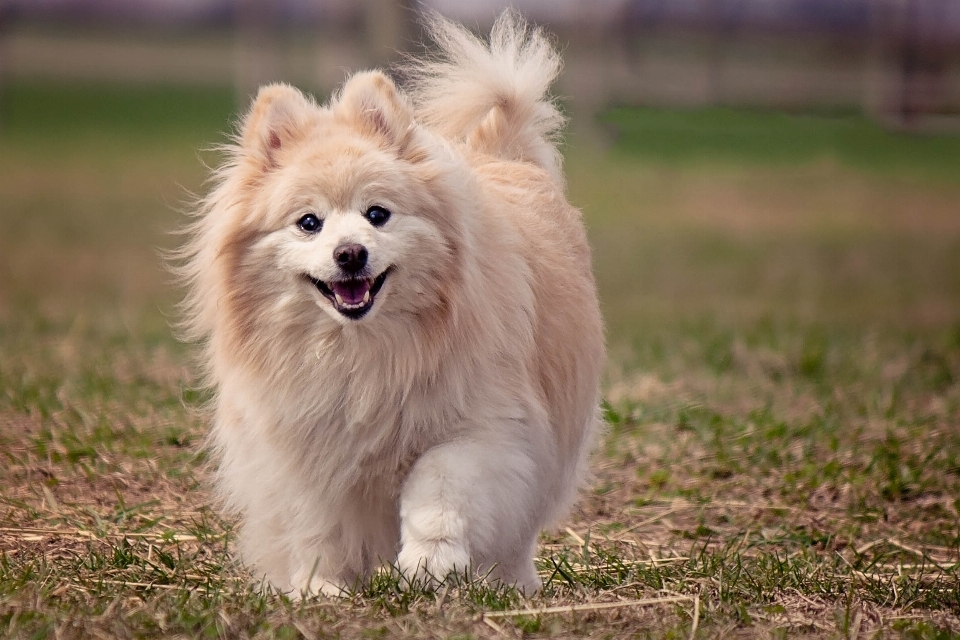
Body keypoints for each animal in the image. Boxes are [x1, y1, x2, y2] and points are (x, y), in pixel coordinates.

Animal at [176, 11, 604, 596]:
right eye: (309, 223)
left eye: (377, 214)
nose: (350, 252)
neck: (360, 353)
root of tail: (503, 153)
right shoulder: (303, 448)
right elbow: (317, 524)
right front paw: (319, 587)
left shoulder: (482, 428)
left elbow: (438, 489)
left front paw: (430, 563)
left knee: (517, 528)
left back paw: (510, 584)